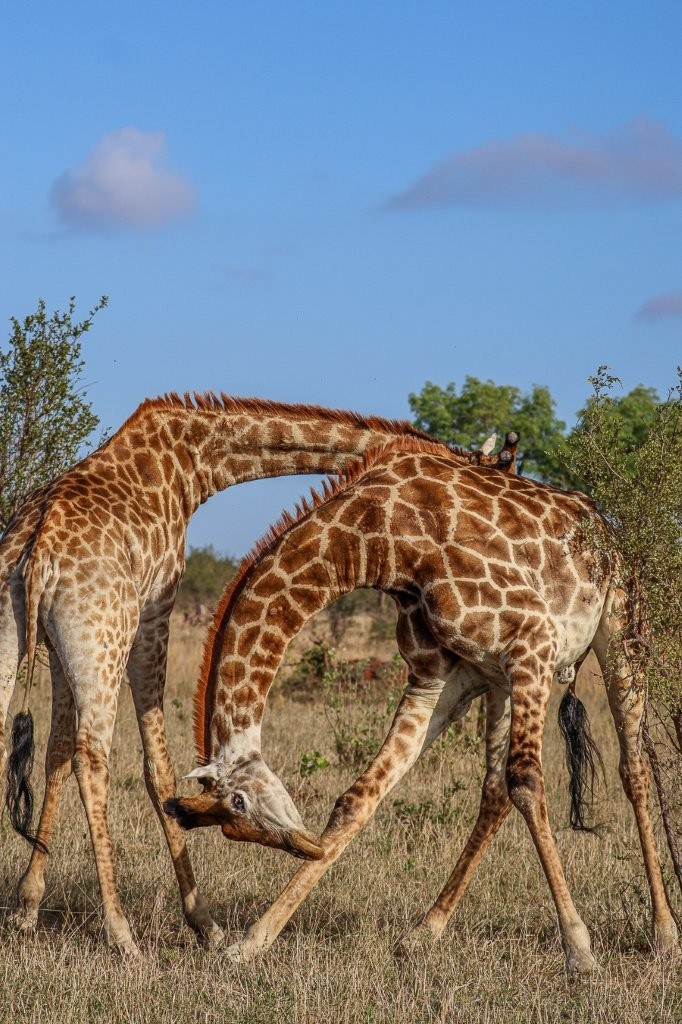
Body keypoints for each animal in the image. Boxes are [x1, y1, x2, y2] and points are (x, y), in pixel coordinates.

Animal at [0, 393, 514, 954]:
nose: (303, 846)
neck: (191, 461)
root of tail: (39, 552)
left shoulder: (58, 645)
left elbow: (55, 752)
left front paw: (26, 906)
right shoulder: (154, 611)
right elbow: (157, 768)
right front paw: (204, 924)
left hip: (25, 631)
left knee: (26, 737)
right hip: (104, 634)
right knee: (94, 757)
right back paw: (122, 934)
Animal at [166, 436, 678, 974]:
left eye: (239, 804)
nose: (306, 847)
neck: (376, 538)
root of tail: (605, 525)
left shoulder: (533, 639)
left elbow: (529, 782)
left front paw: (579, 950)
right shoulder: (437, 682)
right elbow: (360, 797)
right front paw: (251, 942)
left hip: (621, 628)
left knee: (632, 767)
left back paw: (664, 933)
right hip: (499, 682)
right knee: (494, 791)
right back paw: (424, 929)